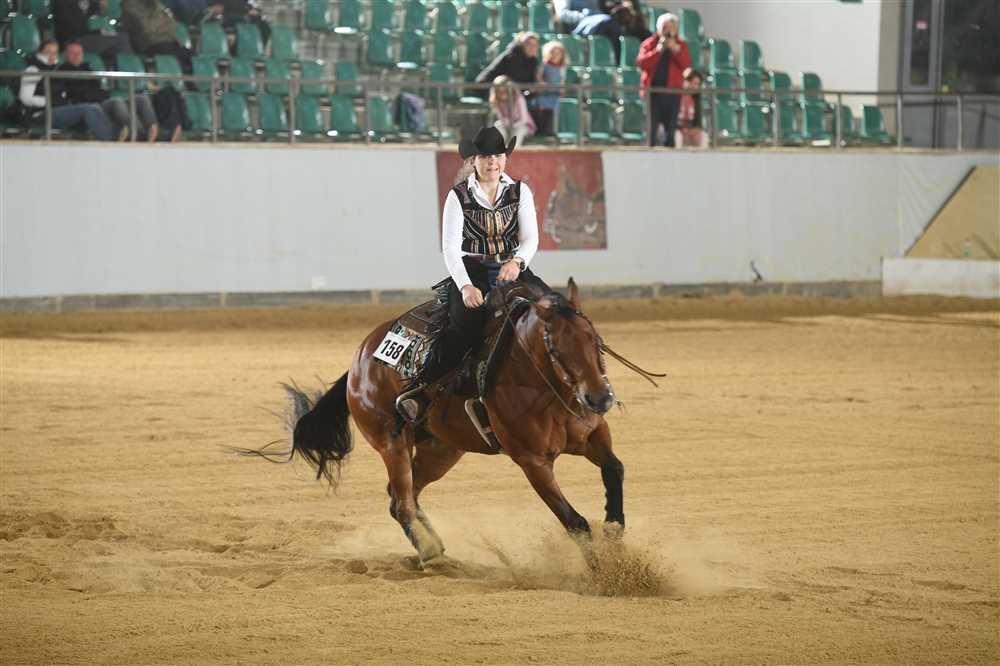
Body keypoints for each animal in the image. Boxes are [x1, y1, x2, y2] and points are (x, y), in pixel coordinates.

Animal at [242, 278, 663, 564]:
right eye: (555, 348)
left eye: (594, 338)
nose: (600, 397)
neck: (538, 381)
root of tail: (358, 363)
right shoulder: (533, 462)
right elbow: (574, 521)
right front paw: (608, 573)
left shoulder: (594, 435)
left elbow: (615, 469)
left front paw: (614, 527)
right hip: (391, 442)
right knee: (402, 502)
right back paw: (430, 553)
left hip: (440, 450)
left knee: (402, 496)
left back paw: (436, 545)